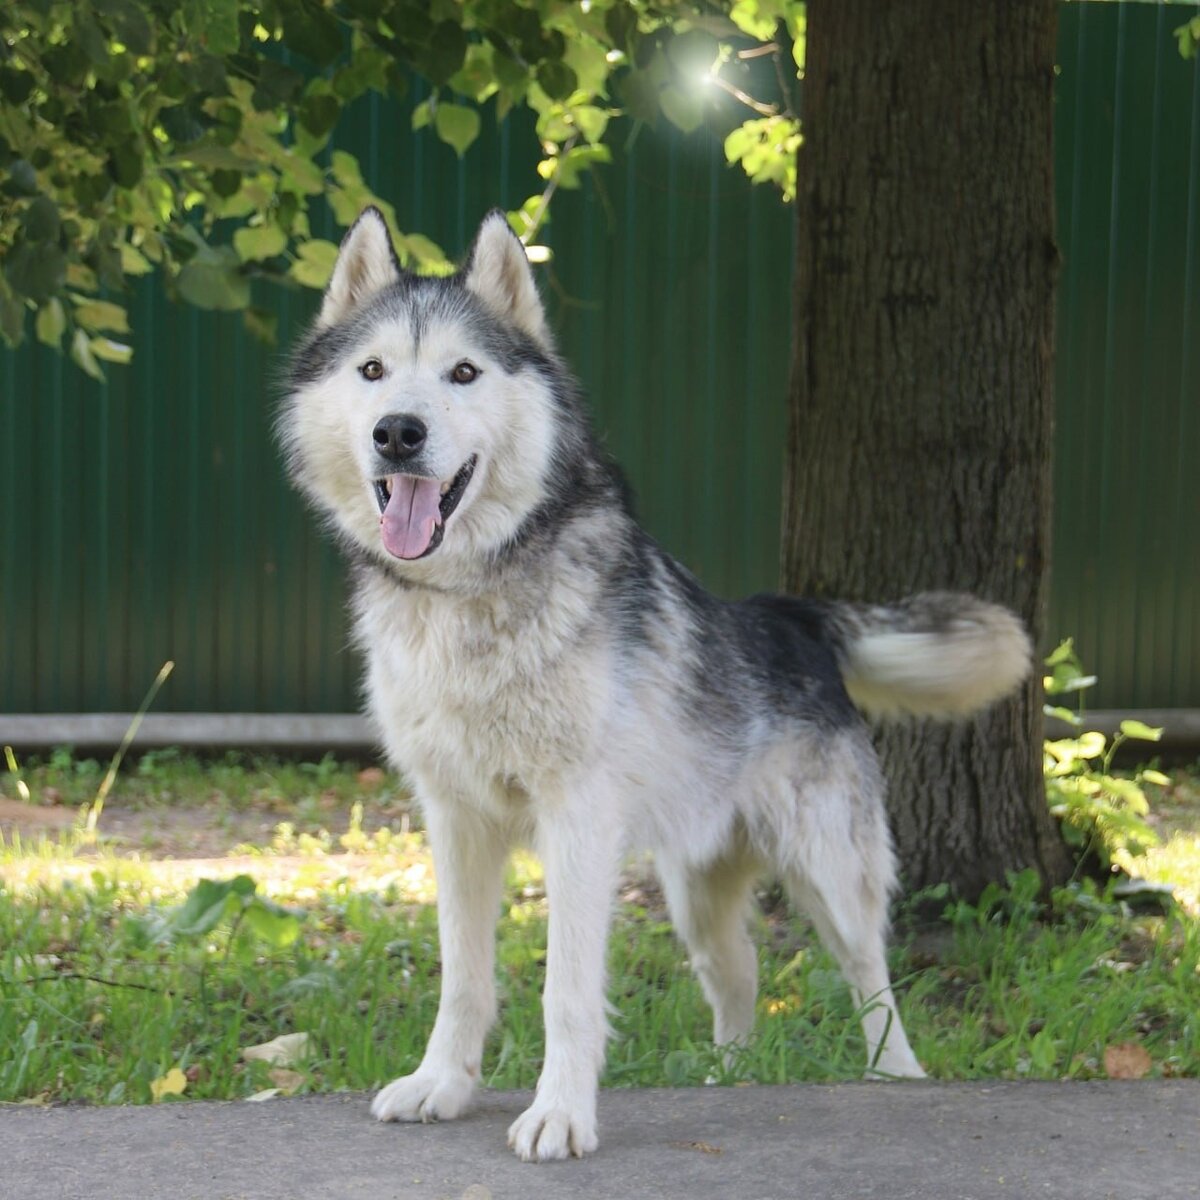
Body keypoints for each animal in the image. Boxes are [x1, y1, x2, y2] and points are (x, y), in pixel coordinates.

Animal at [280, 206, 1032, 1161]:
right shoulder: (456, 822)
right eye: (372, 372)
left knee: (873, 978)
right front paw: (442, 1085)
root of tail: (793, 614)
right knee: (741, 981)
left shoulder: (578, 825)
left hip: (832, 874)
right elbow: (463, 979)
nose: (398, 431)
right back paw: (729, 1077)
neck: (472, 597)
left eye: (463, 372)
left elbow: (566, 993)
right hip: (696, 896)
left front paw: (559, 1115)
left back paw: (895, 1078)